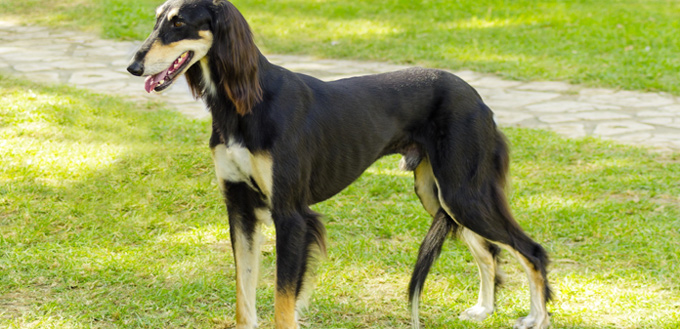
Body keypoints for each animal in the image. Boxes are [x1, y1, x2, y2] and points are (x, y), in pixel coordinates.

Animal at [129, 1, 552, 326]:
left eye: (178, 23)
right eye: (156, 20)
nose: (133, 67)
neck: (244, 103)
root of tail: (478, 99)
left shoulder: (291, 215)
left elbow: (283, 304)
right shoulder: (240, 208)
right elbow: (244, 298)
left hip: (463, 192)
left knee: (531, 251)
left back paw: (536, 318)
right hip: (439, 195)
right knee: (489, 252)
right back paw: (484, 309)